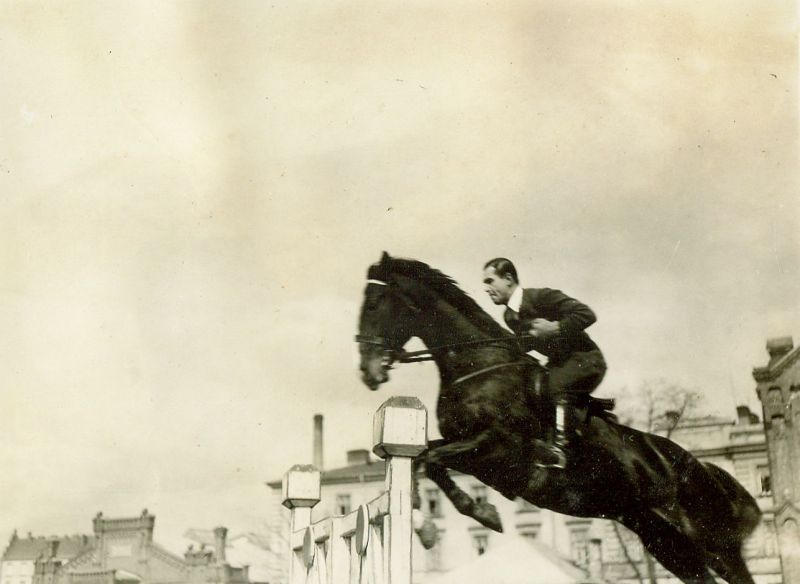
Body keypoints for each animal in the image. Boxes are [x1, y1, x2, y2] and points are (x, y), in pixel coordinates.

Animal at [356, 253, 761, 584]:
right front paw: (448, 518)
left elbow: (432, 461)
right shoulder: (470, 451)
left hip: (711, 543)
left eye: (374, 304)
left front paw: (476, 515)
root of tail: (701, 466)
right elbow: (429, 459)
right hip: (662, 539)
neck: (477, 366)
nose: (368, 373)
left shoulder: (497, 447)